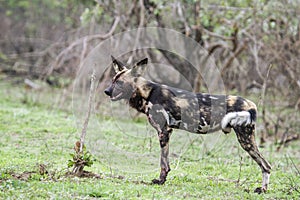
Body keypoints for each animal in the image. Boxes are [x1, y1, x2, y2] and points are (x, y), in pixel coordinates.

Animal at [105, 55, 272, 193]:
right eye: (113, 80)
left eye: (119, 82)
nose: (106, 91)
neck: (147, 93)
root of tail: (251, 104)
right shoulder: (166, 132)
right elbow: (165, 163)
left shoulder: (164, 132)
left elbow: (163, 163)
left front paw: (160, 181)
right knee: (267, 166)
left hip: (245, 140)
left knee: (266, 166)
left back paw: (262, 190)